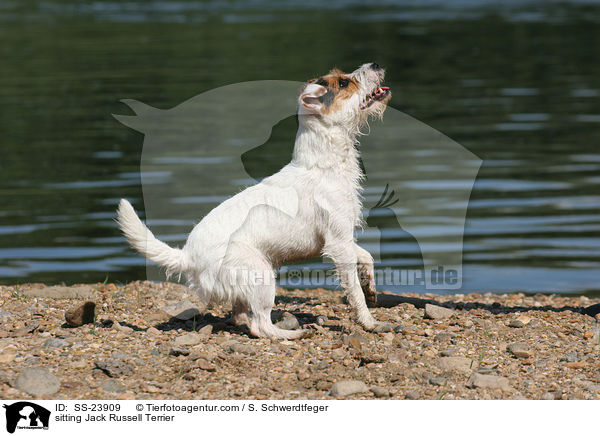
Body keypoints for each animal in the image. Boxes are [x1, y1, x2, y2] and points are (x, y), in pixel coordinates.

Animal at [117, 62, 394, 340]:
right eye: (344, 83)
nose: (375, 65)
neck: (323, 163)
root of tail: (187, 256)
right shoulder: (338, 243)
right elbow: (354, 290)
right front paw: (369, 322)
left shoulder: (342, 238)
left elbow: (366, 257)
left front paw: (371, 288)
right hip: (261, 274)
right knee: (260, 324)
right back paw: (293, 334)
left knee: (241, 316)